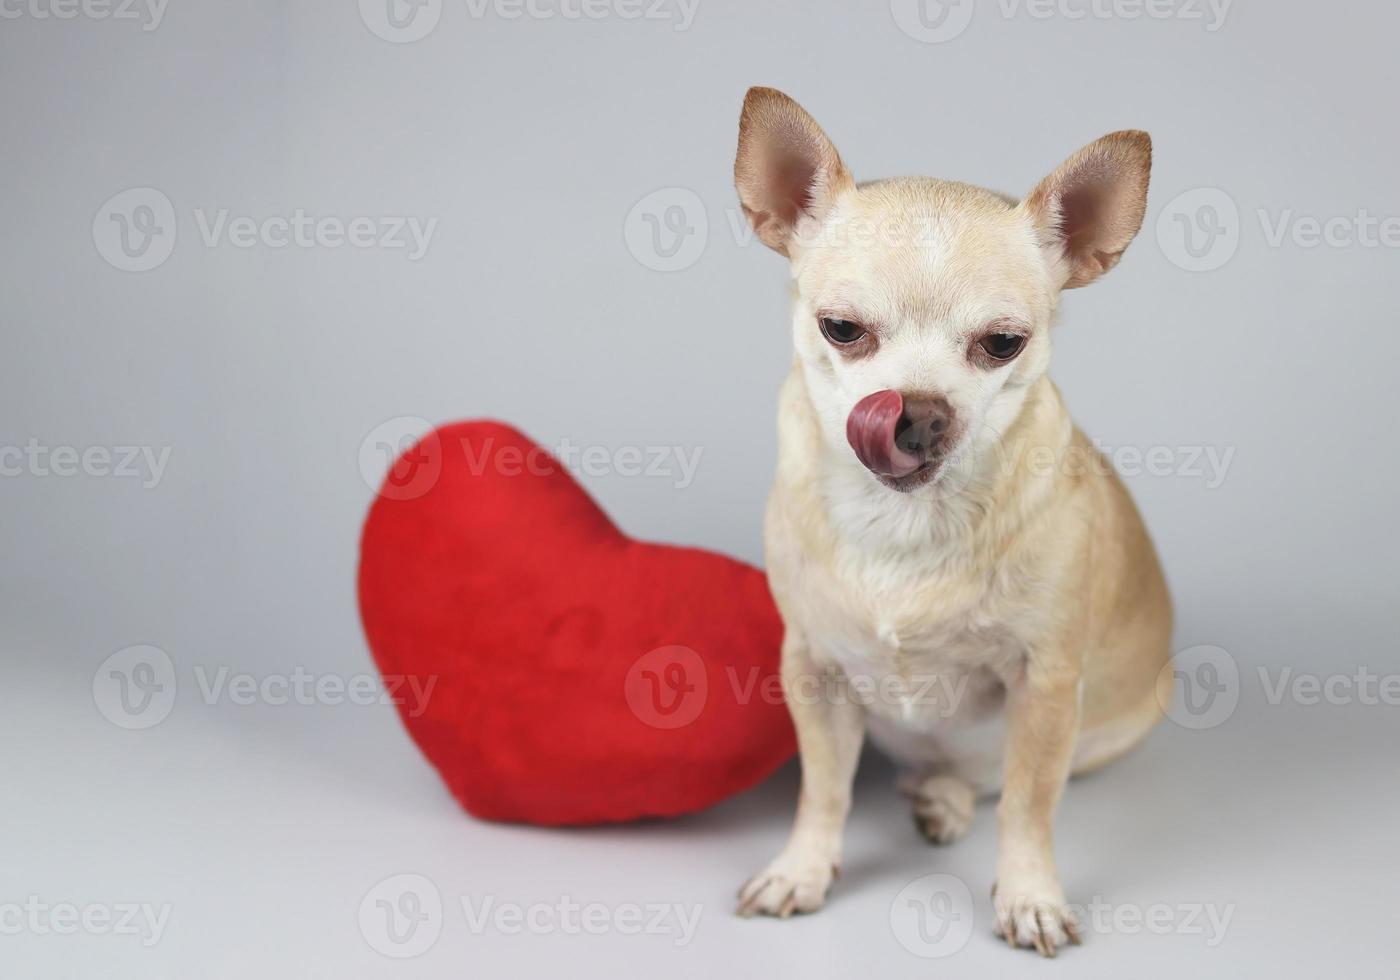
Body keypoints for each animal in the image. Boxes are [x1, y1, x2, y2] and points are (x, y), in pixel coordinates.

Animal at [728, 88, 1176, 952]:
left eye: (1003, 344)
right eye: (842, 329)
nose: (917, 411)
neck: (904, 522)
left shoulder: (1045, 684)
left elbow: (1031, 807)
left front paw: (1029, 896)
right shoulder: (812, 671)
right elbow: (823, 789)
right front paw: (803, 868)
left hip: (1100, 728)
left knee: (997, 781)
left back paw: (947, 800)